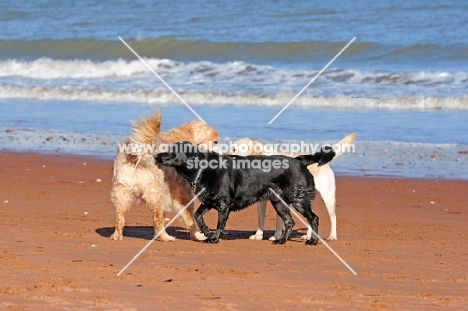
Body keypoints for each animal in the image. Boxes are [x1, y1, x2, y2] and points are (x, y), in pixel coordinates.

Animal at [109, 111, 219, 243]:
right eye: (215, 142)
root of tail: (136, 155)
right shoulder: (183, 193)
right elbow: (189, 217)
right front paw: (198, 235)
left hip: (122, 192)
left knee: (120, 218)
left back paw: (117, 235)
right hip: (156, 193)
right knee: (158, 219)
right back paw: (165, 237)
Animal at [155, 142, 334, 246]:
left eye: (171, 150)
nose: (155, 155)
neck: (203, 167)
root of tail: (300, 160)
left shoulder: (223, 204)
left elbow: (219, 224)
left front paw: (214, 238)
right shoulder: (208, 202)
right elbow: (198, 217)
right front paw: (206, 232)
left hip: (299, 199)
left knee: (314, 218)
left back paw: (313, 241)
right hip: (279, 202)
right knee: (290, 222)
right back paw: (281, 240)